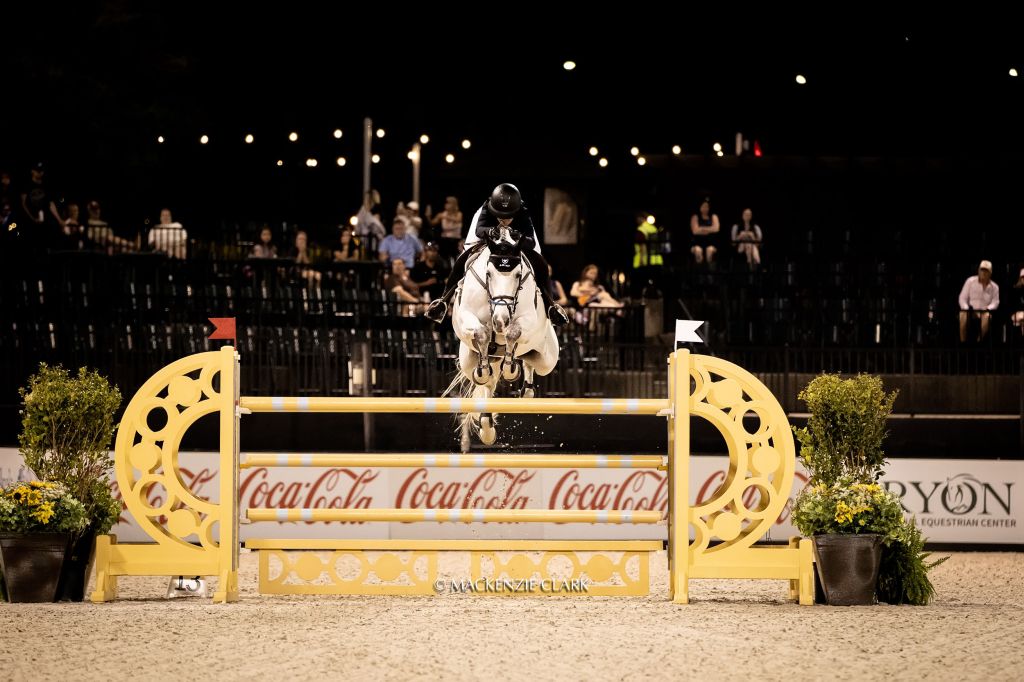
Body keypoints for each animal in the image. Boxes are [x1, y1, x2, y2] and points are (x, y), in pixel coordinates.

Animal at [444, 227, 560, 451]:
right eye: (488, 274)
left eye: (518, 275)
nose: (500, 320)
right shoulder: (466, 318)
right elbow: (481, 333)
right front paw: (486, 368)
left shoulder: (528, 320)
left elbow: (513, 333)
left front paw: (510, 370)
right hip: (468, 361)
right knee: (487, 383)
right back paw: (486, 427)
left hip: (547, 359)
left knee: (529, 361)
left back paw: (523, 385)